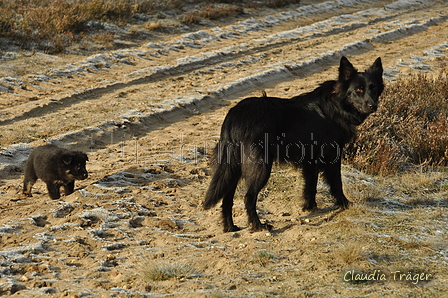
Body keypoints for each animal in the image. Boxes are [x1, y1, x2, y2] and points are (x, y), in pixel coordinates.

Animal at [203, 56, 382, 233]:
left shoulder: (310, 160)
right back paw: (258, 225)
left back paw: (230, 227)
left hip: (233, 166)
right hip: (261, 166)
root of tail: (234, 115)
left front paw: (310, 207)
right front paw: (345, 204)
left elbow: (310, 185)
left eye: (373, 88)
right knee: (249, 197)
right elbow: (336, 183)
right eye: (358, 90)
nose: (373, 106)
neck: (337, 104)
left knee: (227, 198)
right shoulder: (332, 156)